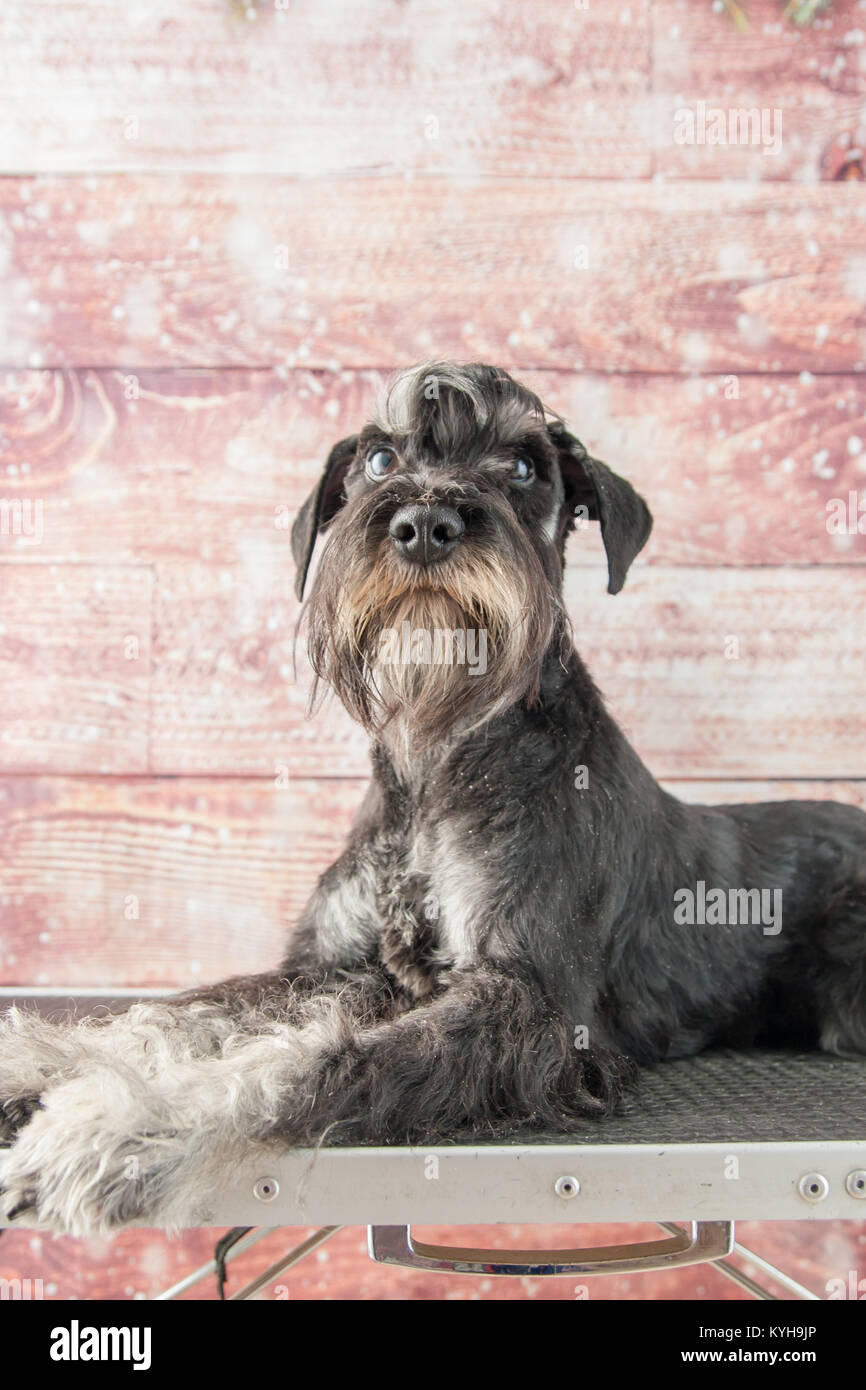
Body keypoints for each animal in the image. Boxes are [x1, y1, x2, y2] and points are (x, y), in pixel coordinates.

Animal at [1, 361, 866, 1239]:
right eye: (380, 459)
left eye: (523, 466)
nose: (424, 523)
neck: (432, 772)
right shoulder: (337, 967)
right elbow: (185, 1010)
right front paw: (39, 1060)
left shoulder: (529, 1007)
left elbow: (321, 1059)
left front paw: (126, 1125)